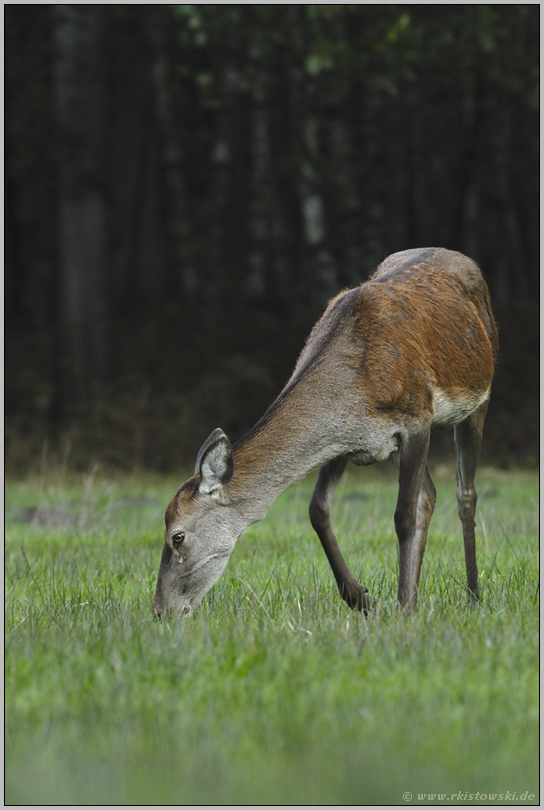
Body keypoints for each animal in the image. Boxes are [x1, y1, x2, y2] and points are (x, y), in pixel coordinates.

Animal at [152, 245, 498, 612]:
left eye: (177, 536)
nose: (161, 610)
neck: (358, 390)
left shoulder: (417, 417)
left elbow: (404, 517)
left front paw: (403, 607)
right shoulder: (345, 440)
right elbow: (318, 510)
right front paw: (362, 598)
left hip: (480, 396)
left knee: (465, 493)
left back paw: (472, 596)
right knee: (429, 495)